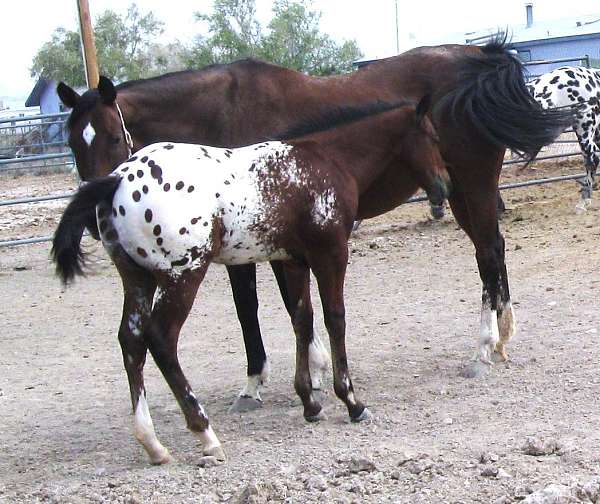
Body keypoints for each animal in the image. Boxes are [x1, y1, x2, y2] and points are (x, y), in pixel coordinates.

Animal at [52, 98, 450, 464]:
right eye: (432, 136)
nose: (444, 186)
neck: (328, 160)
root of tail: (117, 179)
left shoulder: (293, 260)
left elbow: (302, 320)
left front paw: (309, 402)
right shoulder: (331, 254)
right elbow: (334, 319)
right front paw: (351, 401)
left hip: (137, 279)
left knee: (131, 342)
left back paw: (153, 443)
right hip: (183, 275)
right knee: (161, 340)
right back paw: (205, 433)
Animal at [57, 36, 572, 406]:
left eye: (110, 135)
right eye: (72, 141)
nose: (98, 218)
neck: (223, 113)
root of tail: (481, 58)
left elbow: (270, 308)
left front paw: (291, 375)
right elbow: (276, 307)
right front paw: (292, 375)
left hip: (471, 185)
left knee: (487, 251)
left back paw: (485, 345)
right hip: (462, 192)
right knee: (493, 249)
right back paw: (500, 337)